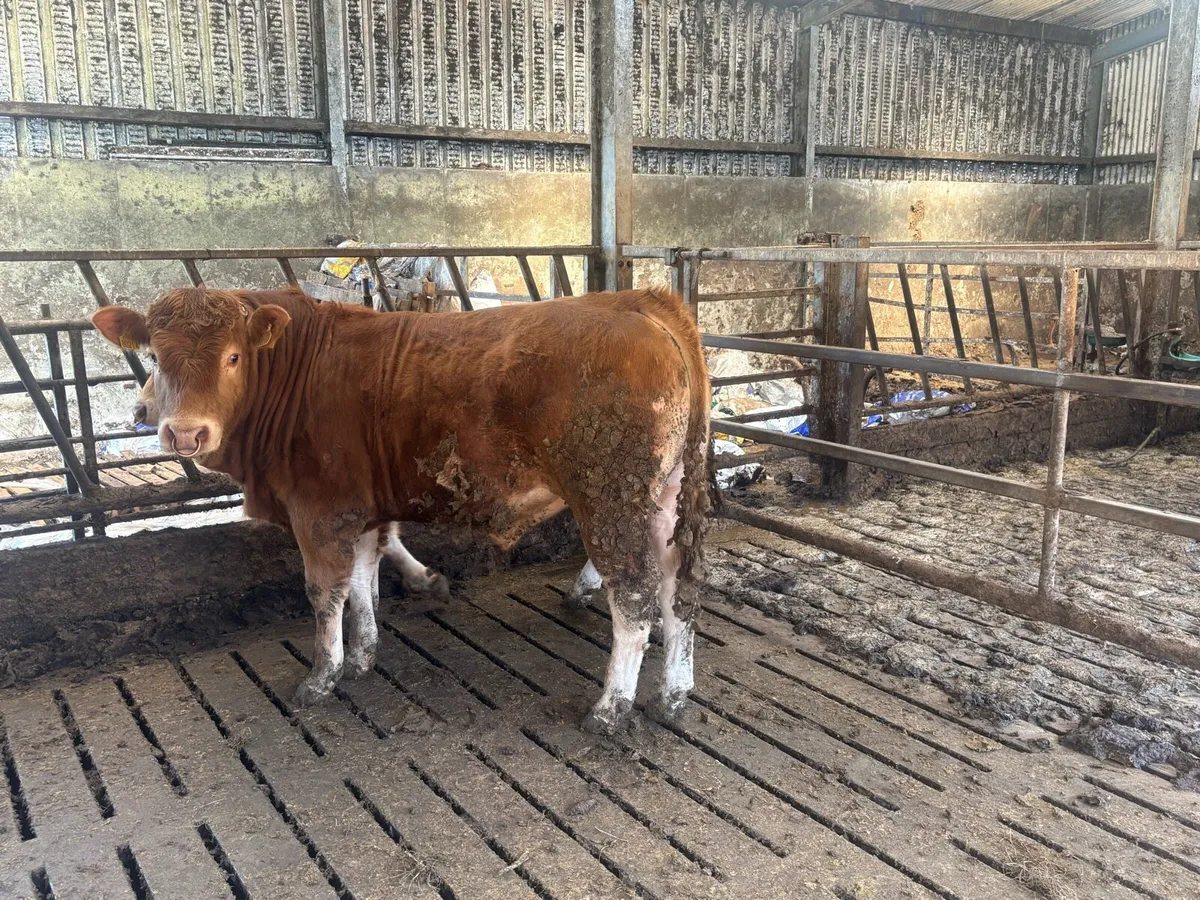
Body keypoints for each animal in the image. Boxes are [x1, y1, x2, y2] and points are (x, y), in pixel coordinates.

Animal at [94, 286, 709, 734]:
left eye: (232, 356)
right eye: (155, 356)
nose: (184, 433)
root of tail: (640, 301)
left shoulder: (319, 511)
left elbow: (325, 592)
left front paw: (322, 677)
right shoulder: (361, 508)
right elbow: (364, 578)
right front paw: (363, 654)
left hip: (610, 499)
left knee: (635, 597)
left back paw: (610, 709)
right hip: (667, 498)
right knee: (679, 588)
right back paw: (673, 695)